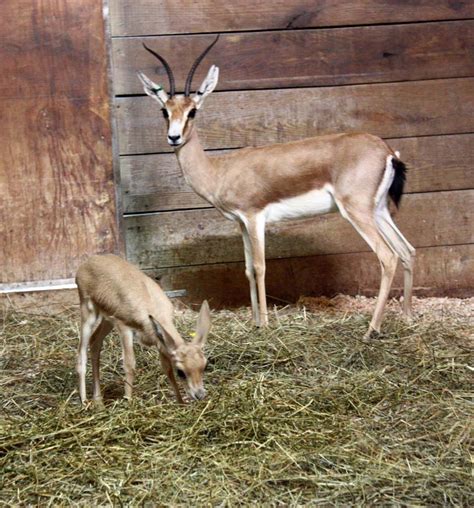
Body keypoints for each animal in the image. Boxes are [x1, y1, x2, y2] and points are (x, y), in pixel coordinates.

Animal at [75, 256, 209, 402]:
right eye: (181, 371)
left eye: (204, 366)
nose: (199, 395)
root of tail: (90, 260)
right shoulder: (124, 328)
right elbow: (130, 365)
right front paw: (128, 401)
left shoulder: (160, 341)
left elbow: (167, 369)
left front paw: (180, 403)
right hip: (88, 314)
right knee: (81, 353)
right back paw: (84, 401)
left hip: (107, 320)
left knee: (95, 342)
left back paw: (98, 400)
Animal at [137, 36, 414, 338]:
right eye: (164, 110)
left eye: (193, 111)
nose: (174, 137)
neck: (220, 170)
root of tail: (388, 151)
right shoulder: (240, 223)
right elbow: (247, 269)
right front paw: (255, 321)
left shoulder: (254, 217)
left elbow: (260, 266)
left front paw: (266, 325)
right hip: (378, 211)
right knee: (407, 251)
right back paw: (407, 316)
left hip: (357, 212)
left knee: (388, 256)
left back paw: (370, 330)